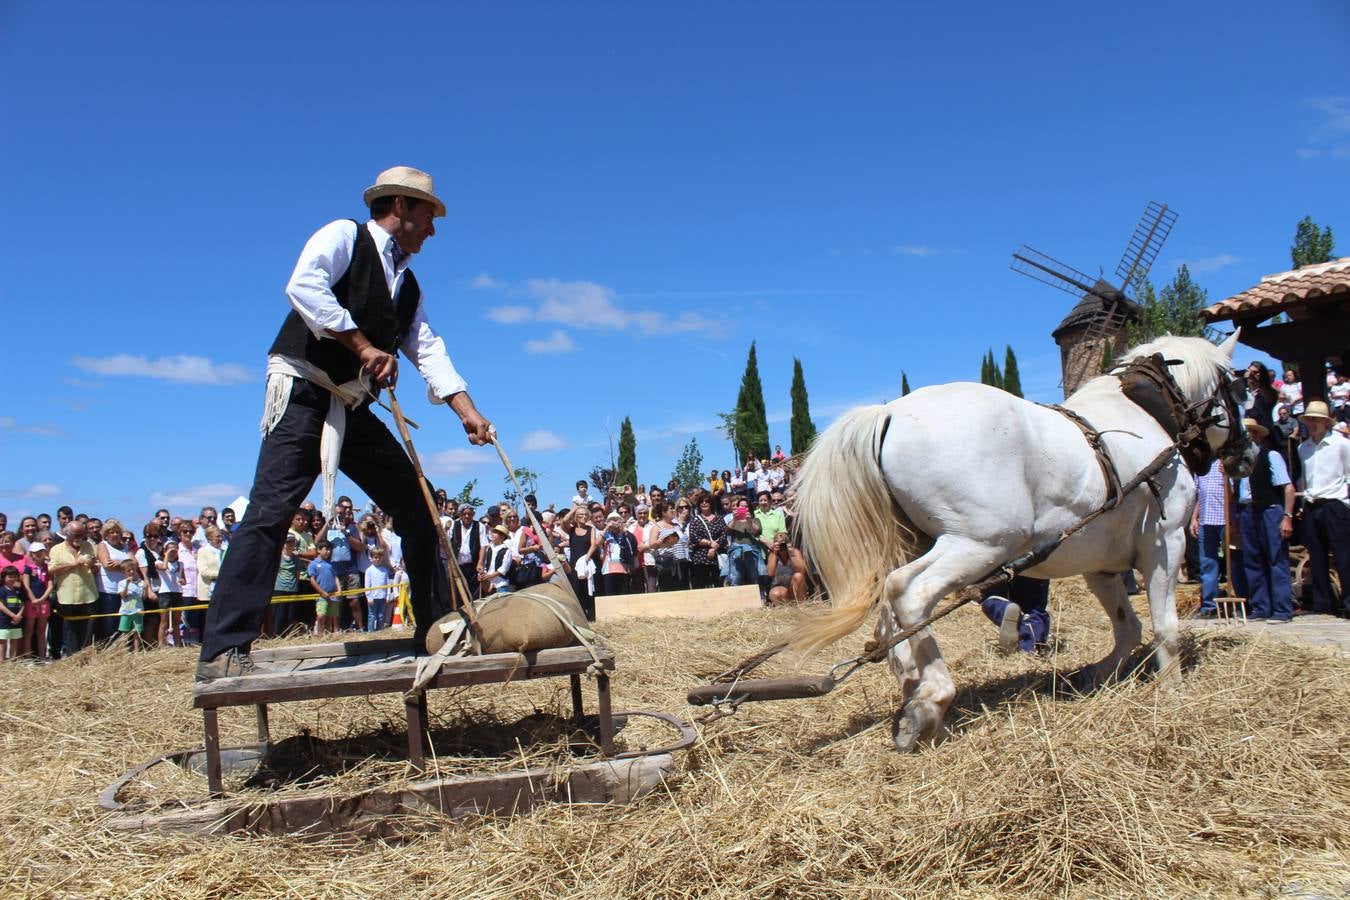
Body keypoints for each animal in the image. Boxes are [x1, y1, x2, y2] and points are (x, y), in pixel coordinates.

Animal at [788, 334, 1252, 750]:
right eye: (1239, 390)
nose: (1246, 455)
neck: (1148, 416)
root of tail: (889, 411)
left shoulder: (1101, 565)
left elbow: (1127, 625)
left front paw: (1099, 674)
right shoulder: (1165, 542)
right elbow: (1164, 626)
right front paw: (1173, 689)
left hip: (922, 542)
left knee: (889, 607)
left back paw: (909, 682)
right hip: (981, 542)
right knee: (908, 591)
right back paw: (932, 698)